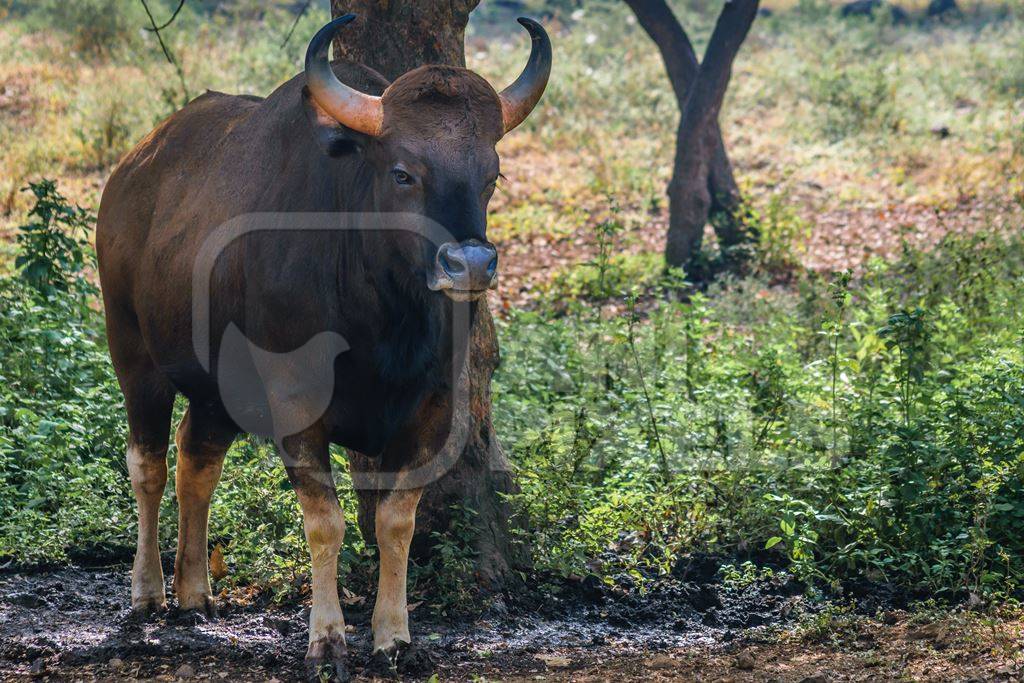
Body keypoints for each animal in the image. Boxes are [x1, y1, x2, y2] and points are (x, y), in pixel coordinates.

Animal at [96, 14, 552, 679]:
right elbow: (326, 523)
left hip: (217, 392)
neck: (380, 316)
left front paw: (393, 636)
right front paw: (328, 637)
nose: (469, 264)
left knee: (196, 460)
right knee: (148, 465)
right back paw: (148, 590)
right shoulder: (294, 404)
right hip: (133, 355)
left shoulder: (435, 408)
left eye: (491, 176)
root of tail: (131, 173)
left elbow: (395, 522)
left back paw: (194, 592)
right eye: (403, 173)